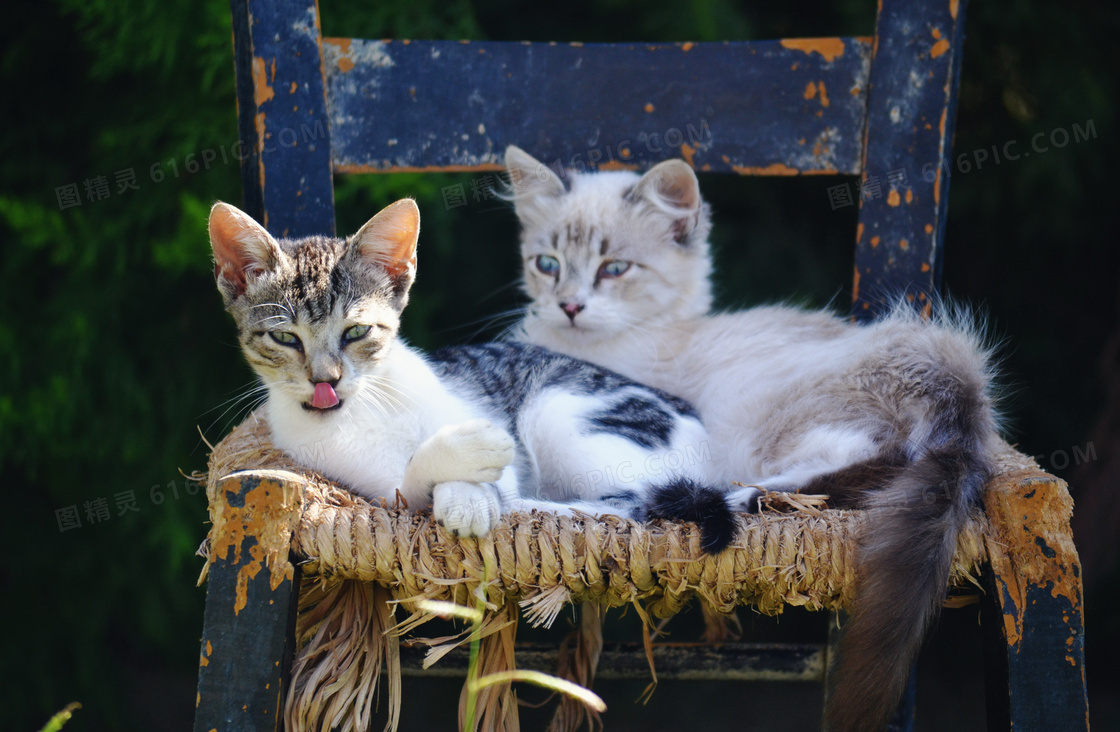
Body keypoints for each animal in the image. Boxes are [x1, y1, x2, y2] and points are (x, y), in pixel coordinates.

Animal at [210, 198, 734, 548]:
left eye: (356, 331)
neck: (362, 409)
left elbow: (488, 471)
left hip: (558, 409)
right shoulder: (370, 487)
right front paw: (463, 475)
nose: (326, 380)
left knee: (632, 504)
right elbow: (408, 486)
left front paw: (471, 493)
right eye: (285, 339)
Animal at [504, 147, 1003, 732]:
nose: (569, 306)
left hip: (768, 420)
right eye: (547, 265)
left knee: (853, 461)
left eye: (615, 269)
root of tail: (957, 380)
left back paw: (742, 497)